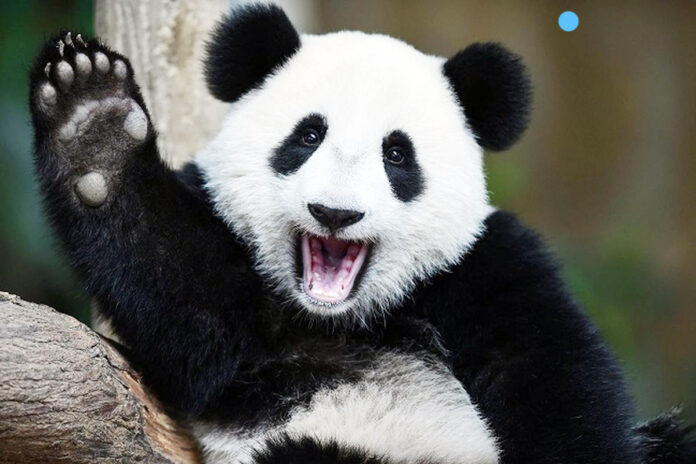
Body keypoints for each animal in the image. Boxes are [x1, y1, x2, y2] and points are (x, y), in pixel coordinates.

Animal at [28, 3, 694, 464]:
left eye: (396, 154)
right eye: (307, 136)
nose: (335, 214)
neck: (345, 318)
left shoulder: (483, 263)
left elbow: (550, 376)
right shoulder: (238, 312)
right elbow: (188, 300)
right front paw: (94, 124)